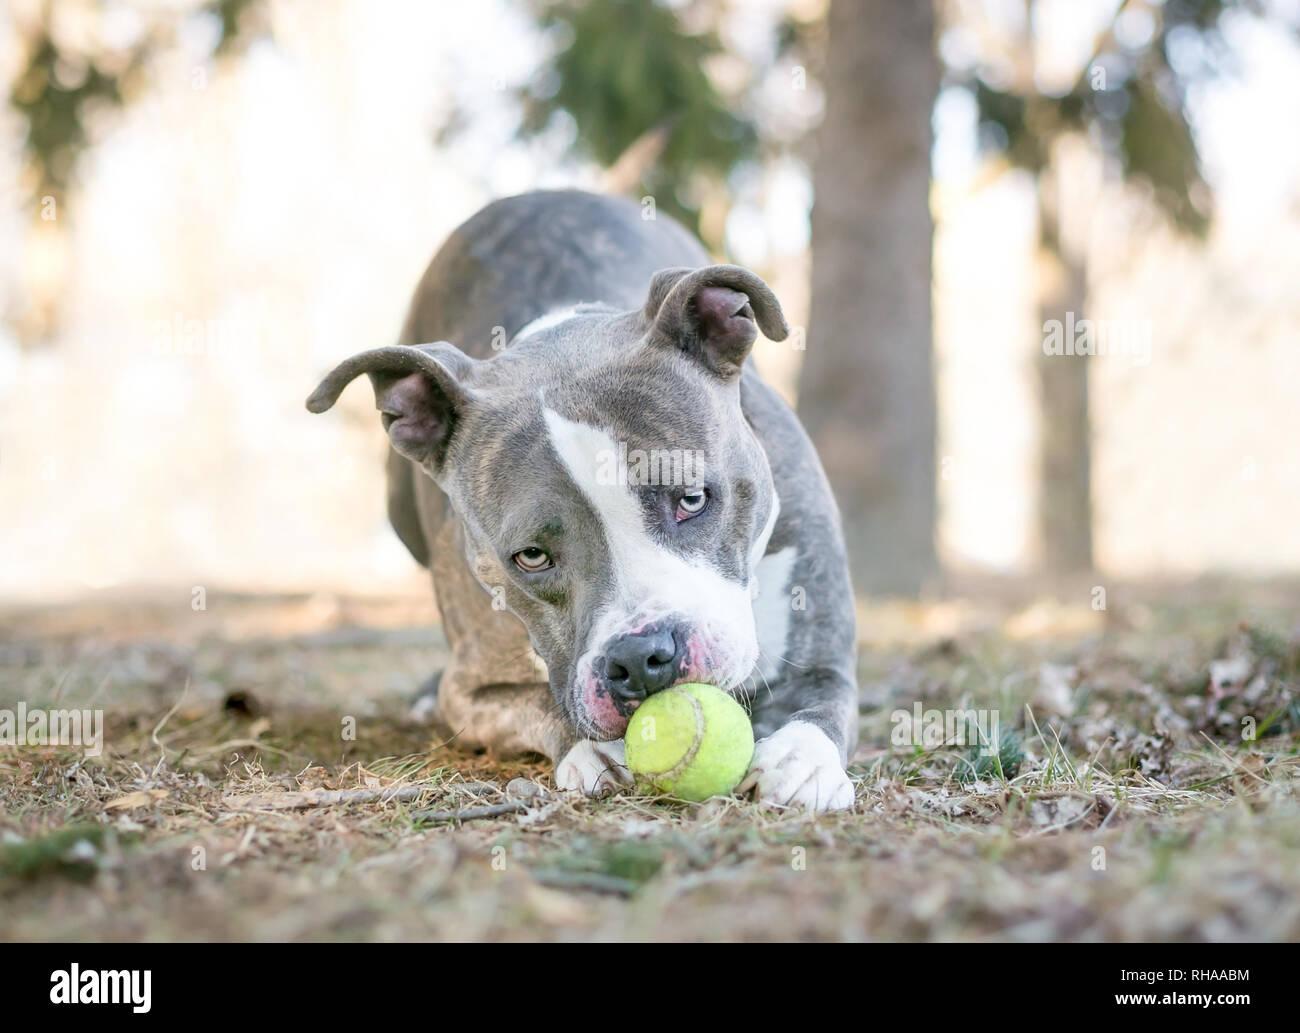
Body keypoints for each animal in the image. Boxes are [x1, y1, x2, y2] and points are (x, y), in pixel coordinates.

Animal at [309, 189, 863, 810]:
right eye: (530, 556)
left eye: (693, 499)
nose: (641, 658)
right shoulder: (474, 689)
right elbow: (535, 701)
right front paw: (590, 749)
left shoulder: (820, 656)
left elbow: (819, 699)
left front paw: (799, 759)